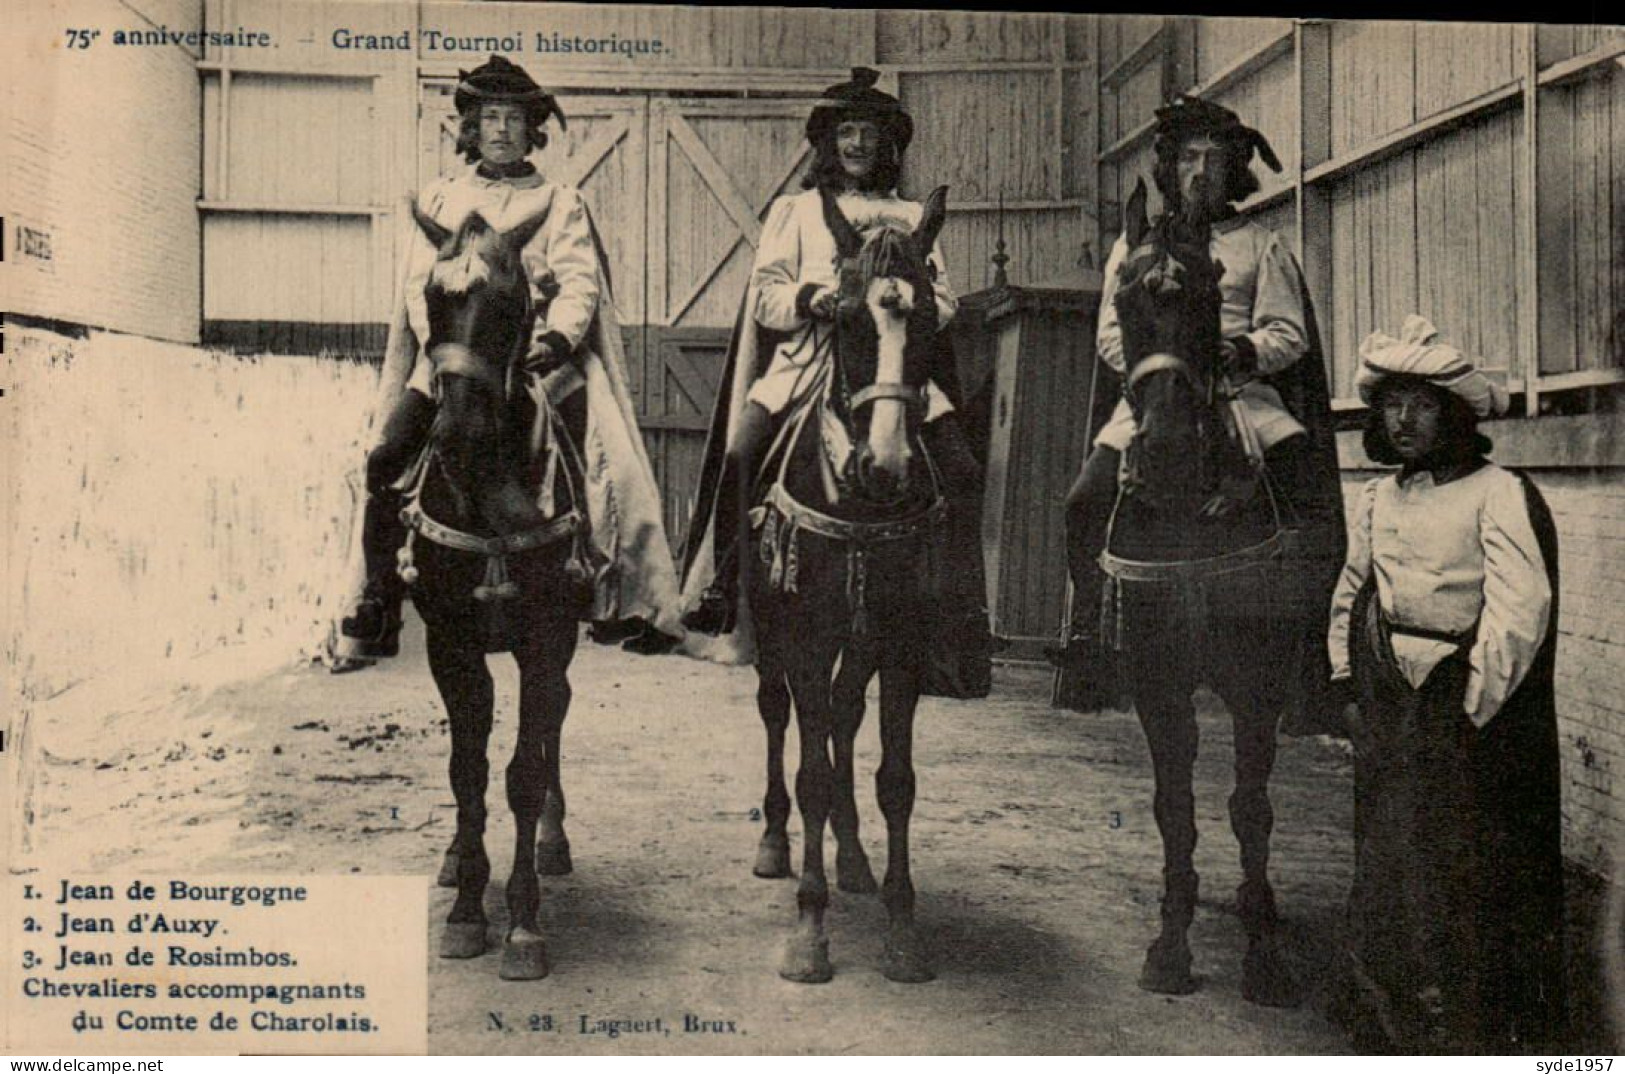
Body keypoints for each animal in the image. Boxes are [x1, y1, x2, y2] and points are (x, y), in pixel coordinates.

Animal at [401, 201, 598, 981]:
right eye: (432, 298)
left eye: (514, 301)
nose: (455, 432)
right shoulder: (450, 644)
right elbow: (468, 771)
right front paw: (465, 911)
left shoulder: (547, 639)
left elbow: (523, 771)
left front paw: (521, 922)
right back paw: (458, 859)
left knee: (553, 727)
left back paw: (553, 838)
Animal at [747, 184, 949, 981]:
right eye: (846, 317)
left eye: (926, 320)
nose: (886, 466)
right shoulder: (803, 636)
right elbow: (806, 771)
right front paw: (809, 931)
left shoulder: (902, 645)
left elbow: (896, 778)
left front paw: (902, 925)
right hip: (768, 632)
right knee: (779, 716)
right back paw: (775, 843)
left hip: (858, 645)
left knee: (840, 716)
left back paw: (855, 856)